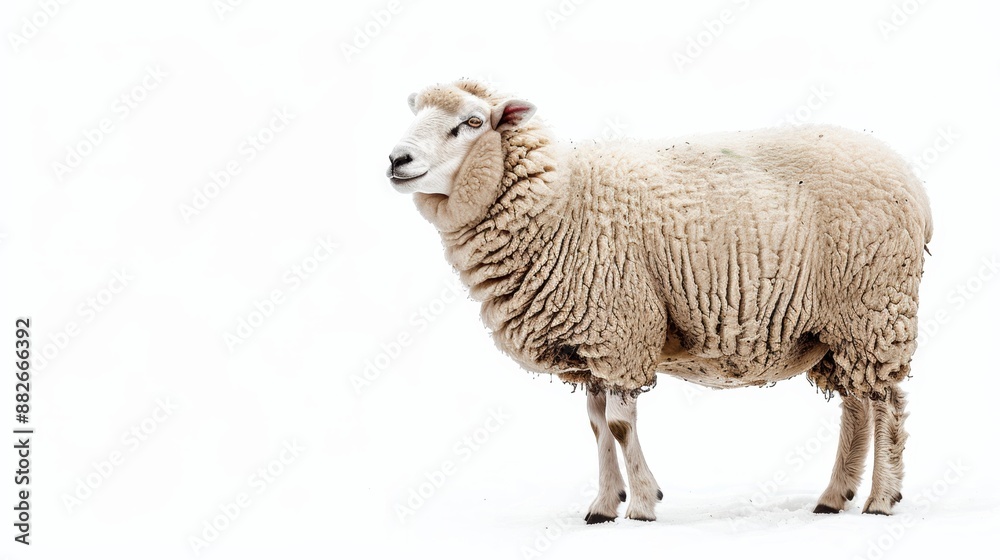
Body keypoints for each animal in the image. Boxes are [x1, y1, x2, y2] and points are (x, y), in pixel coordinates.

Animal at [386, 79, 932, 523]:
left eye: (472, 122)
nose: (396, 160)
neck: (560, 201)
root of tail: (912, 183)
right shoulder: (593, 344)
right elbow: (597, 427)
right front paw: (603, 506)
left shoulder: (622, 330)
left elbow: (619, 425)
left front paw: (644, 504)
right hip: (836, 327)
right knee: (856, 404)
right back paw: (833, 497)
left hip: (874, 306)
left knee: (885, 403)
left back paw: (881, 499)